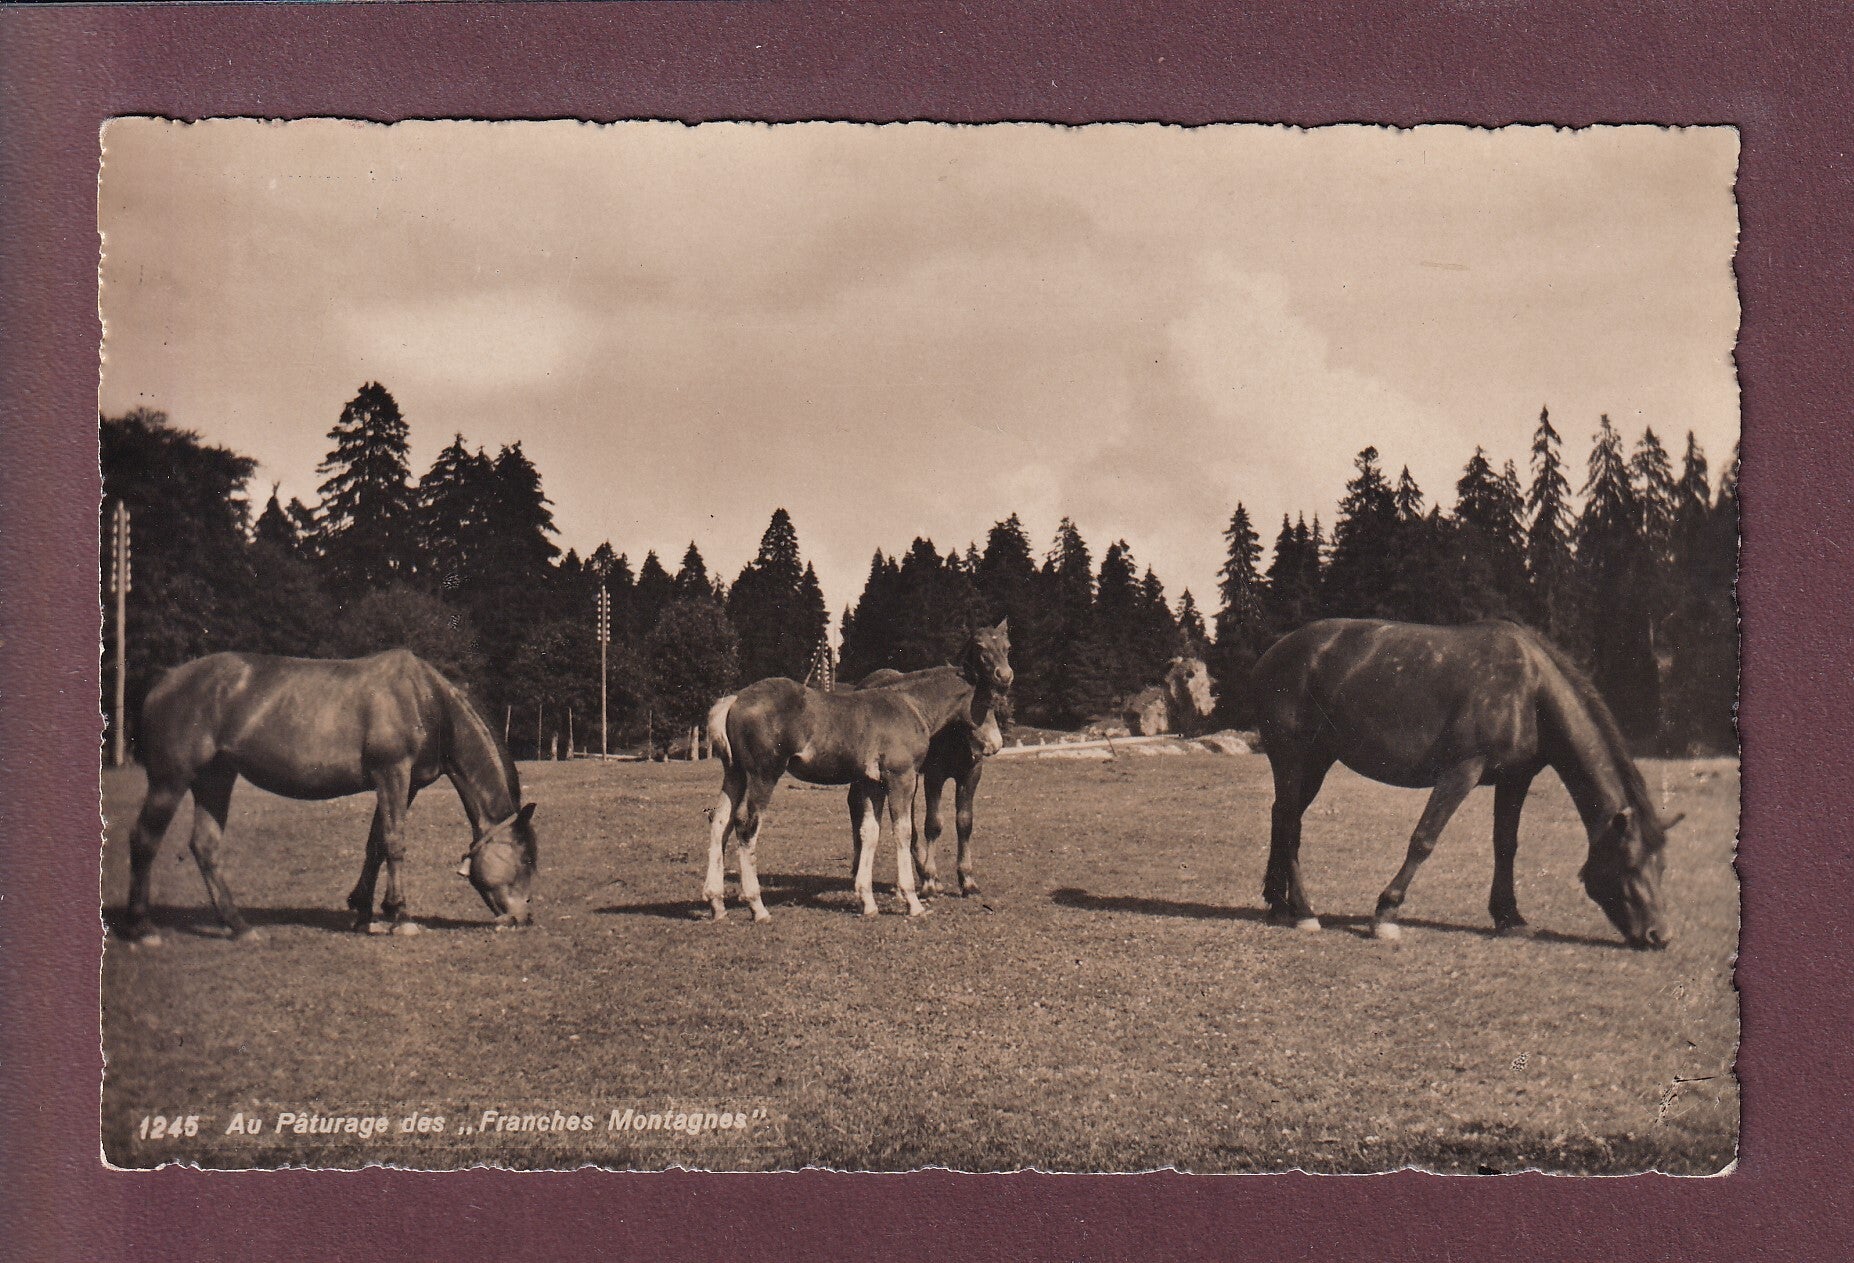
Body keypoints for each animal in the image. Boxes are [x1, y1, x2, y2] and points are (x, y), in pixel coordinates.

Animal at [119, 649, 538, 944]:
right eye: (526, 859)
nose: (524, 919)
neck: (425, 700)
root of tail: (166, 679)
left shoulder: (403, 785)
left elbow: (376, 846)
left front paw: (364, 913)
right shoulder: (392, 774)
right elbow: (395, 843)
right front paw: (400, 916)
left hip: (215, 779)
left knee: (205, 846)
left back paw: (239, 927)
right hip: (171, 781)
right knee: (145, 840)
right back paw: (143, 928)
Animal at [852, 665, 1005, 898]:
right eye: (983, 703)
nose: (996, 744)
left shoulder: (970, 776)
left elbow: (964, 822)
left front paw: (967, 881)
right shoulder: (934, 777)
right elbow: (933, 824)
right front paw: (930, 880)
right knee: (855, 806)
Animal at [1250, 619, 1679, 949]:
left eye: (1662, 866)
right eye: (1630, 863)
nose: (1660, 936)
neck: (1530, 689)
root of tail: (1275, 651)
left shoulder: (1515, 779)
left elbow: (1506, 846)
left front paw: (1510, 917)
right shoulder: (1463, 770)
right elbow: (1424, 839)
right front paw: (1386, 912)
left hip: (1317, 761)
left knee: (1280, 817)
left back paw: (1279, 905)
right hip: (1292, 757)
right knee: (1289, 824)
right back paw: (1304, 911)